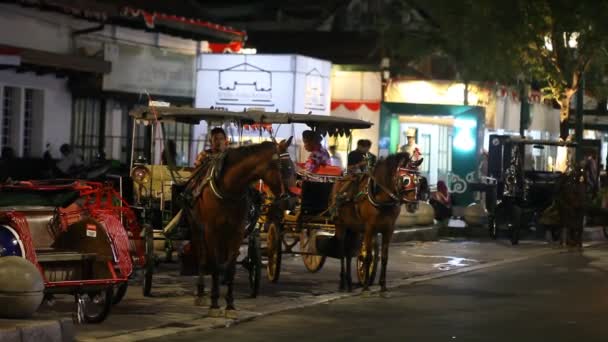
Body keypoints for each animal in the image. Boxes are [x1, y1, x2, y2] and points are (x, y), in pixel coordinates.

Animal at [189, 140, 286, 316]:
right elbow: (214, 265)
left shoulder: (237, 231)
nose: (283, 195)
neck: (229, 188)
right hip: (197, 228)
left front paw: (230, 305)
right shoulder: (211, 230)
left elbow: (231, 267)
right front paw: (214, 304)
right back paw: (200, 292)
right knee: (203, 258)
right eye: (278, 165)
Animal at [330, 154, 420, 292]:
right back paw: (342, 283)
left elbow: (384, 257)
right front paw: (366, 285)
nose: (413, 205)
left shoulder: (388, 230)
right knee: (341, 252)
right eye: (405, 180)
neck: (382, 198)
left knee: (348, 252)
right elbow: (367, 256)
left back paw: (349, 282)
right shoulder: (369, 228)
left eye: (418, 180)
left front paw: (383, 284)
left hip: (353, 228)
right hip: (340, 224)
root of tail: (341, 179)